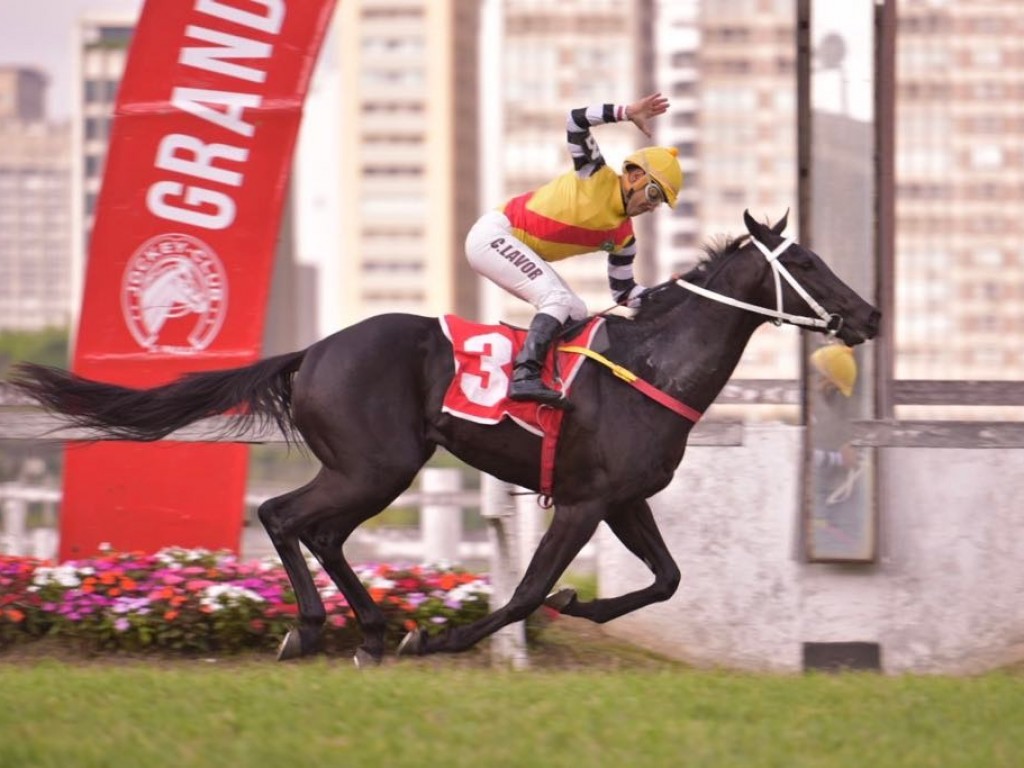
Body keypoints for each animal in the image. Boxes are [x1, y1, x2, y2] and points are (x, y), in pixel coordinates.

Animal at [8, 211, 880, 667]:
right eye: (805, 260)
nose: (869, 315)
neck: (650, 363)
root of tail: (313, 350)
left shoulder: (622, 498)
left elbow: (665, 579)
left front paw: (580, 604)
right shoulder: (583, 501)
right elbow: (525, 590)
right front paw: (445, 634)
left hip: (374, 469)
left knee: (317, 530)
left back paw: (361, 630)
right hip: (379, 465)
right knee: (287, 517)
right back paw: (324, 629)